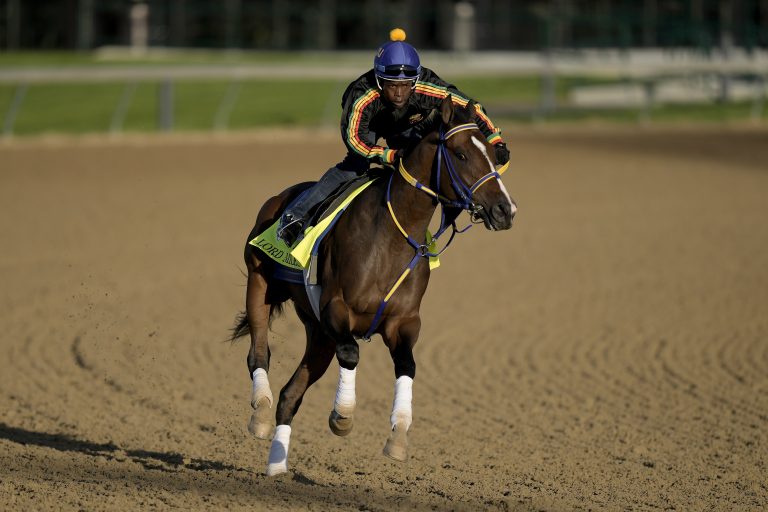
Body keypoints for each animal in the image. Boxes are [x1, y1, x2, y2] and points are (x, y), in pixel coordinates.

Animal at [228, 95, 516, 476]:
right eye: (461, 154)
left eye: (494, 155)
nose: (504, 210)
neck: (390, 238)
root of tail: (278, 199)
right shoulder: (336, 309)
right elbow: (351, 353)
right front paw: (343, 416)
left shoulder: (403, 322)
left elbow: (407, 365)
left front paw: (398, 436)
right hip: (261, 285)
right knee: (259, 353)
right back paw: (260, 412)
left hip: (319, 335)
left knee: (291, 395)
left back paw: (276, 469)